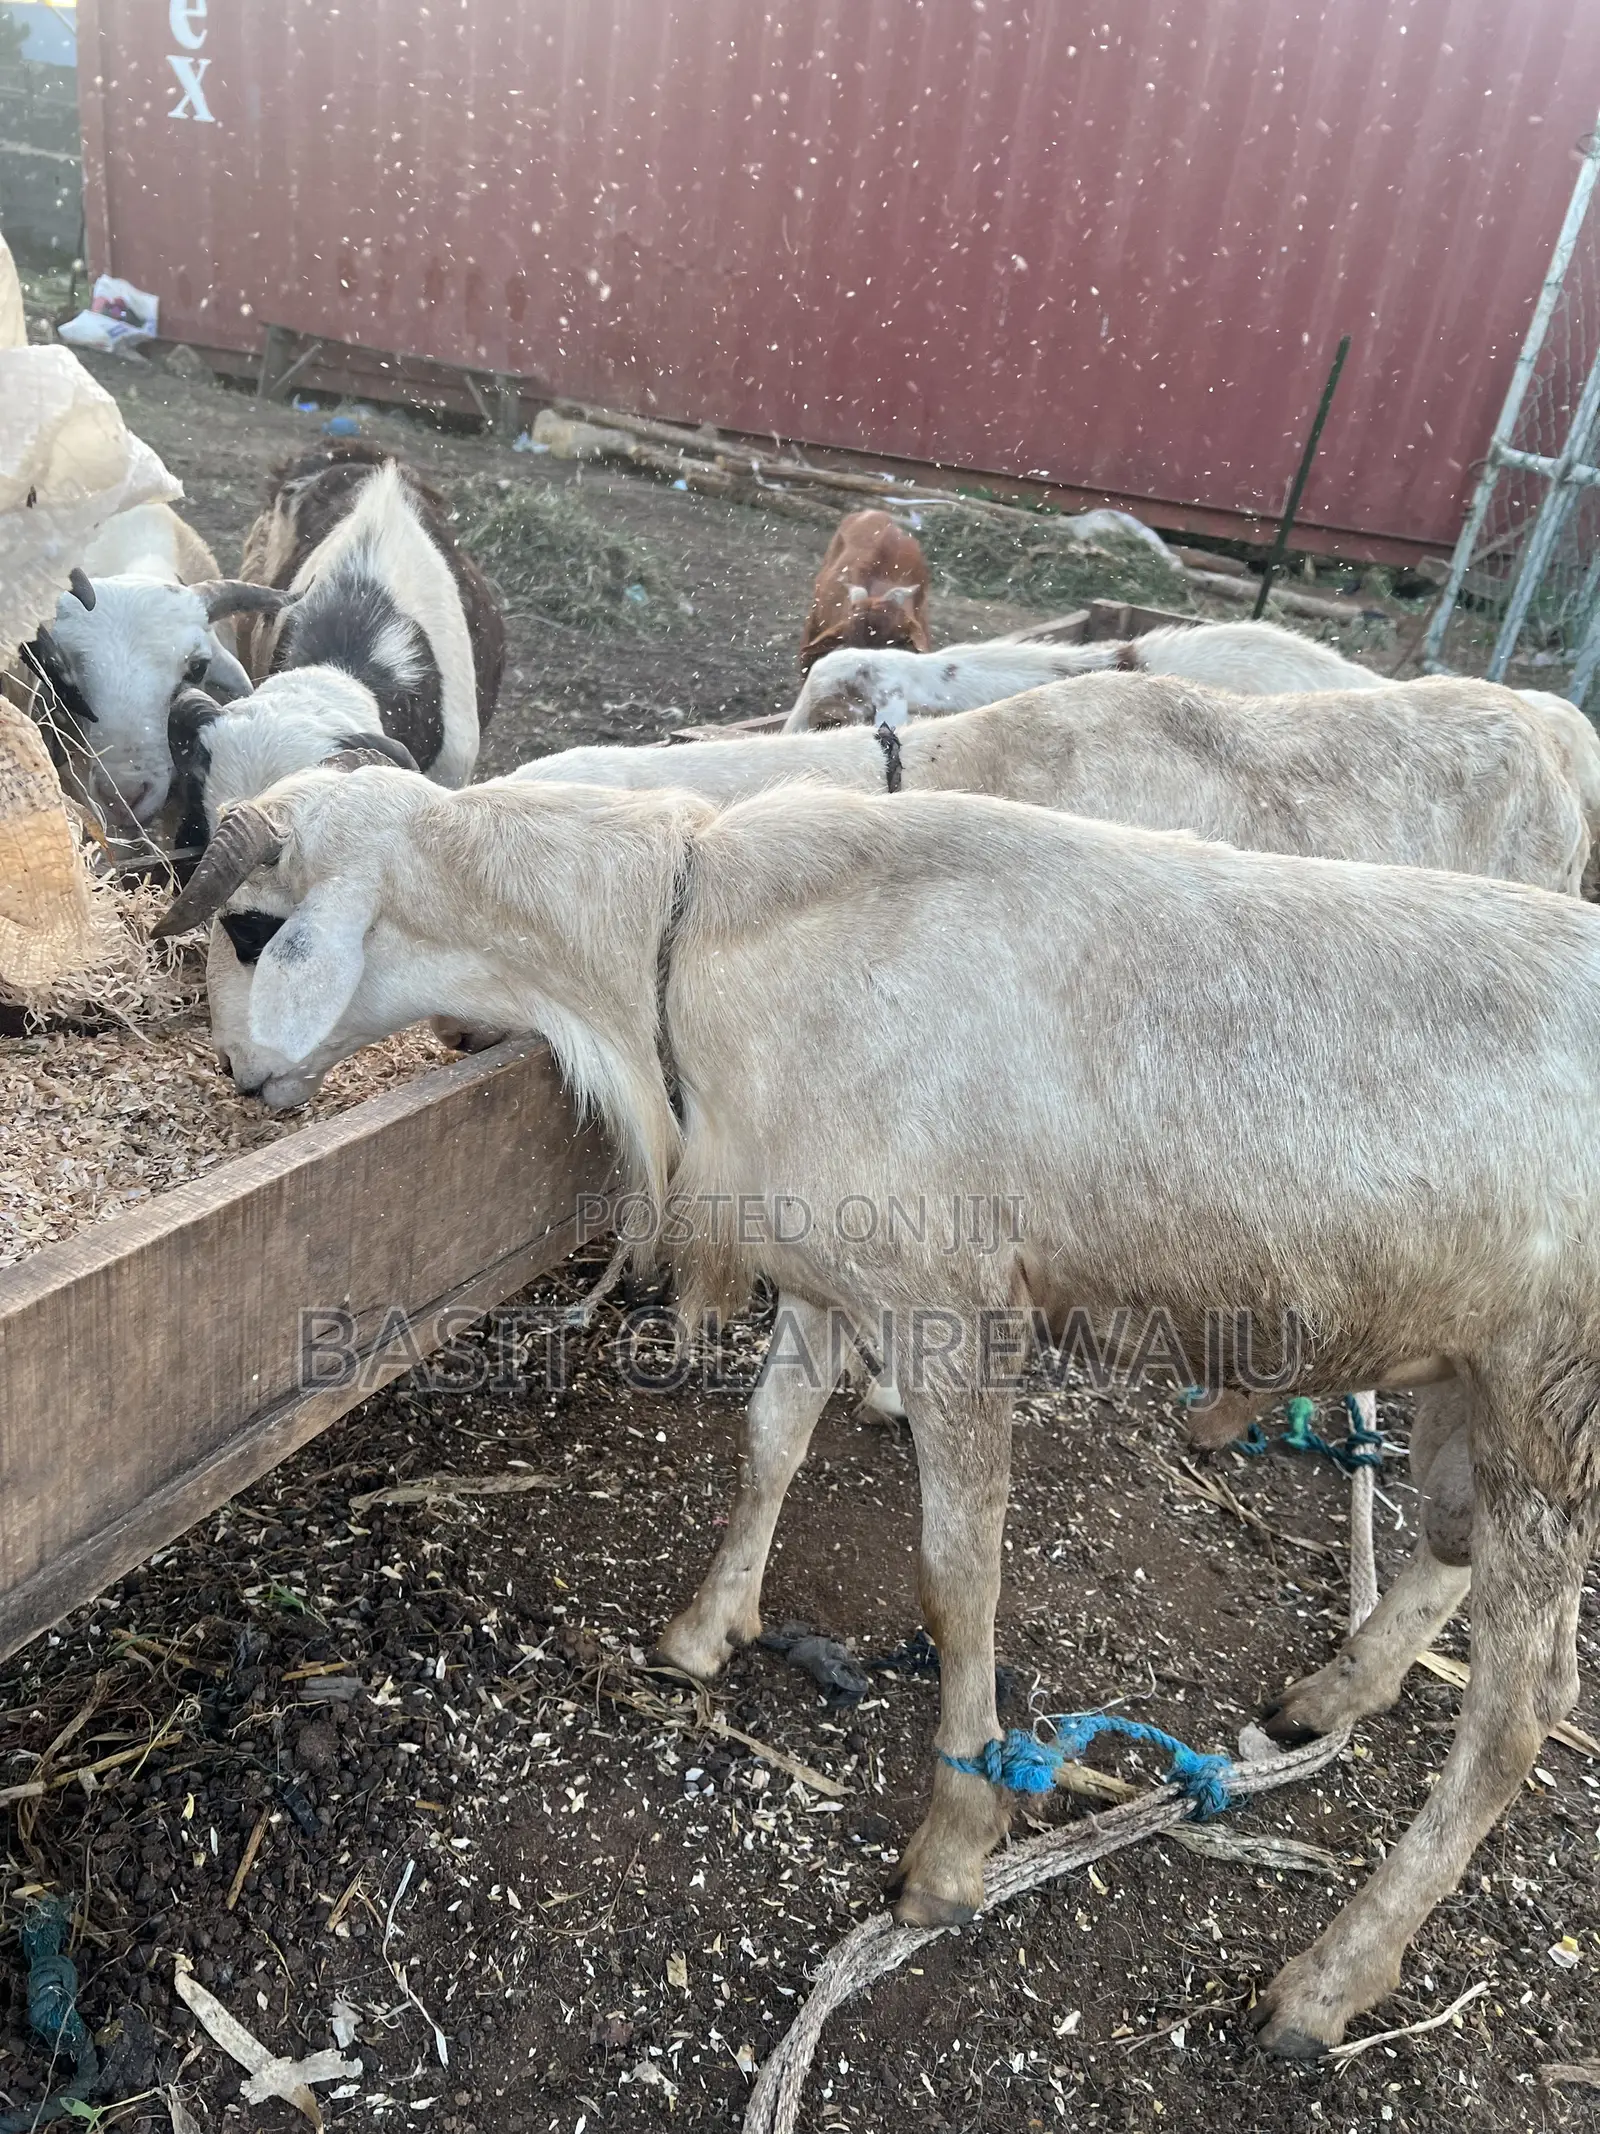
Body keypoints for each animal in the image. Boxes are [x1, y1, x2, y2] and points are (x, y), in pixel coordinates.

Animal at [154, 763, 1600, 2054]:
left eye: (250, 926)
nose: (231, 1069)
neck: (680, 940)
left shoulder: (951, 1304)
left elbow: (959, 1579)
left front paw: (951, 1852)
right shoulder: (824, 1267)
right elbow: (769, 1439)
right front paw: (705, 1628)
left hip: (1553, 1396)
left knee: (1516, 1718)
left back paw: (1324, 1984)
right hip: (1476, 1376)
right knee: (1447, 1556)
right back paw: (1328, 1695)